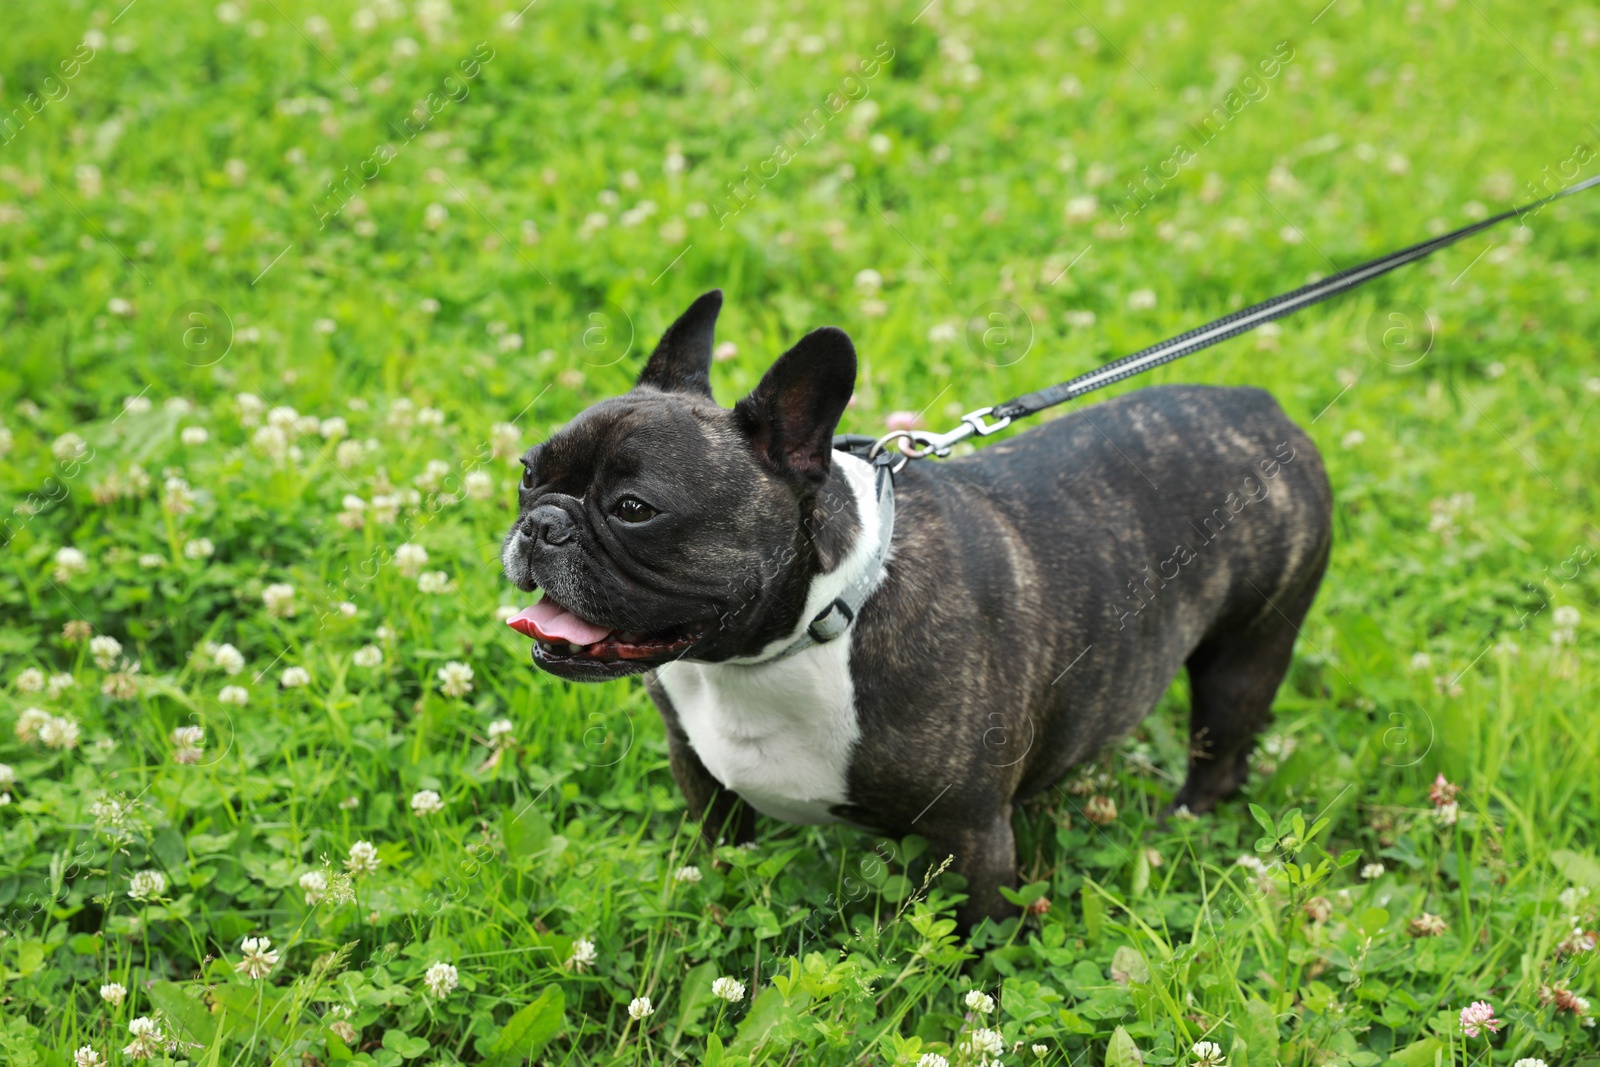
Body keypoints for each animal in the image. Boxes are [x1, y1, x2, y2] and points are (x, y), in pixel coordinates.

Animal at [505, 289, 1331, 927]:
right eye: (526, 472)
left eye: (635, 509)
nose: (541, 523)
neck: (807, 631)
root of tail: (1262, 406)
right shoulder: (703, 778)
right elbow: (725, 861)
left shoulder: (973, 834)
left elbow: (976, 940)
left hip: (1245, 654)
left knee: (1219, 753)